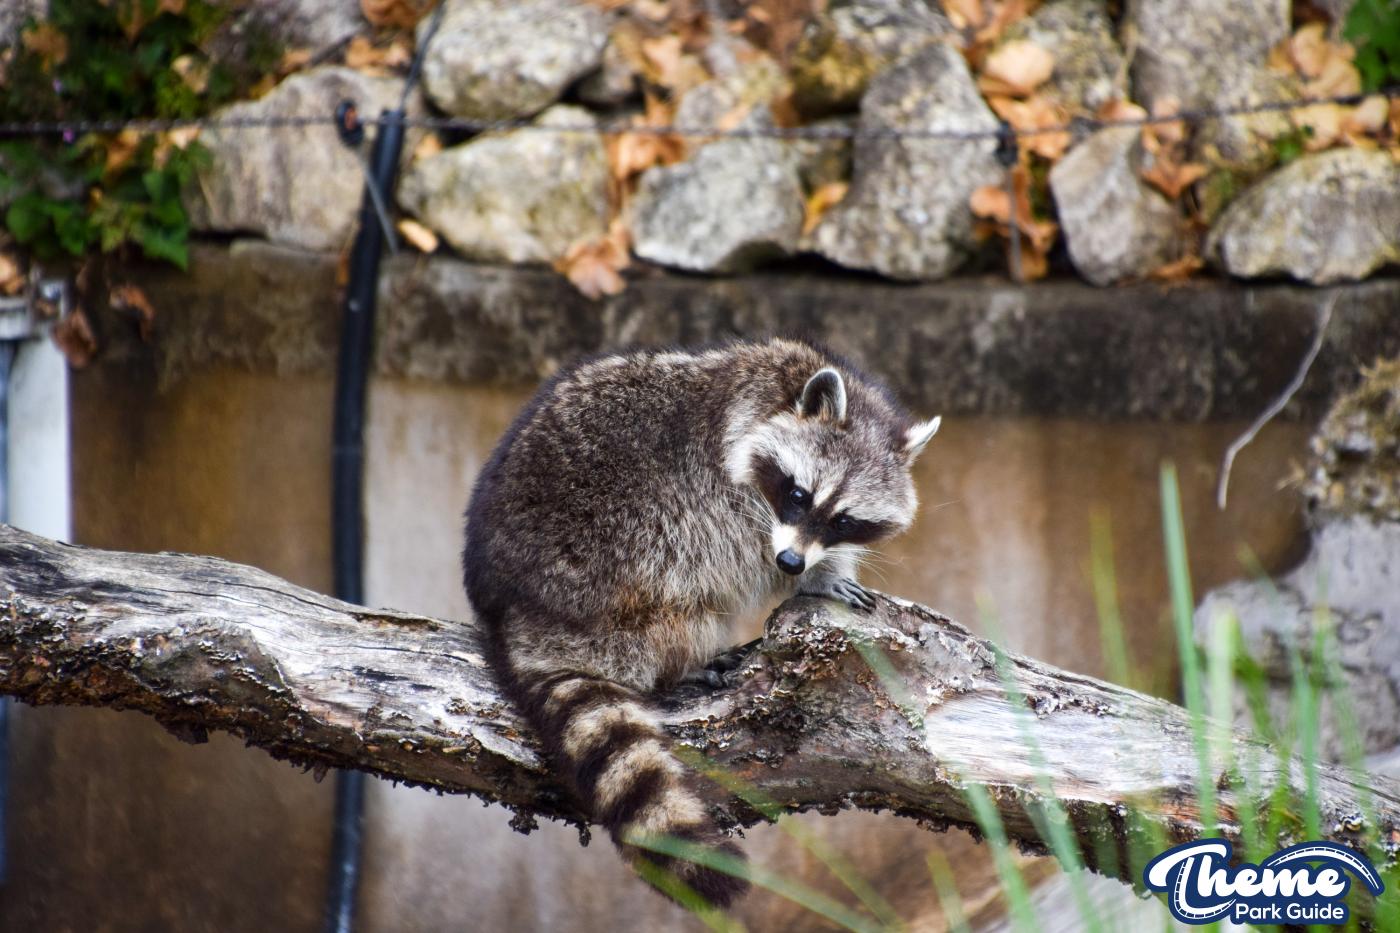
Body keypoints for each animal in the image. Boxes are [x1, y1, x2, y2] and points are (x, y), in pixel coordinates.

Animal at [462, 338, 940, 907]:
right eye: (798, 495)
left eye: (843, 519)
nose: (792, 562)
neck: (780, 392)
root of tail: (512, 611)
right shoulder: (721, 489)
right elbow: (744, 552)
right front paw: (812, 579)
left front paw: (821, 568)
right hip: (611, 576)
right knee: (681, 588)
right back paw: (680, 662)